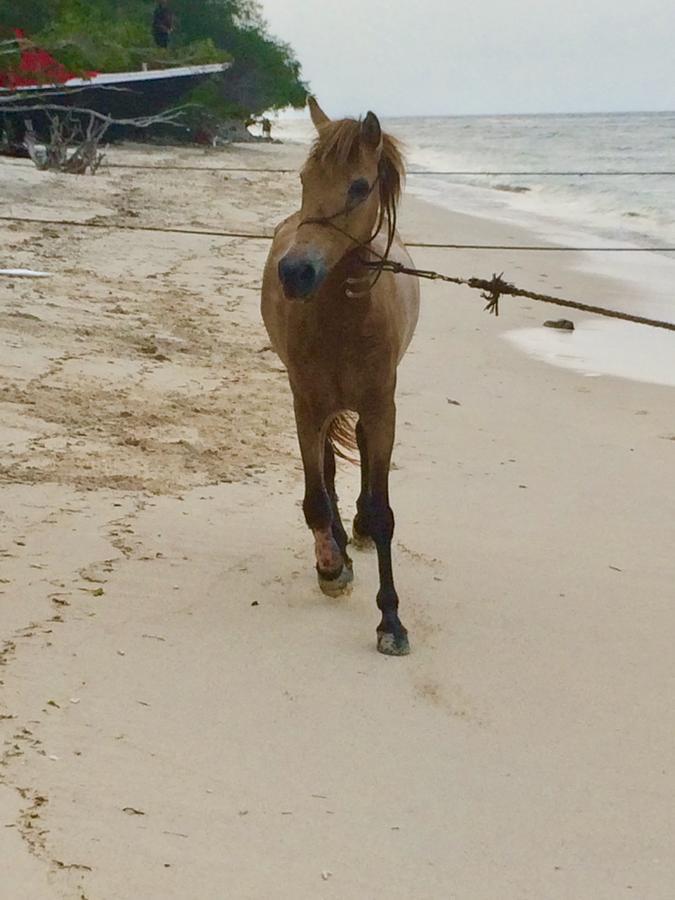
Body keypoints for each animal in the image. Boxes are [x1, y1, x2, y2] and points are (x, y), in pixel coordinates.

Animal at [262, 98, 420, 656]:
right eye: (304, 177)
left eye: (358, 186)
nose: (295, 273)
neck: (343, 316)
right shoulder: (307, 404)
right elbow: (315, 497)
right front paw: (331, 566)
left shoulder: (381, 406)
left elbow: (384, 509)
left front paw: (391, 619)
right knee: (328, 474)